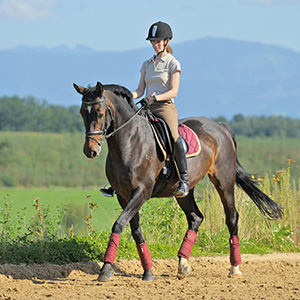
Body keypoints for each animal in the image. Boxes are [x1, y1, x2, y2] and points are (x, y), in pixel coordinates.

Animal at [74, 81, 282, 282]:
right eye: (82, 112)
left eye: (100, 113)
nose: (90, 150)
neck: (130, 141)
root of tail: (220, 126)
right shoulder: (124, 196)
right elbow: (135, 230)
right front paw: (148, 271)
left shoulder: (142, 192)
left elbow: (118, 225)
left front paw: (106, 269)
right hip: (184, 191)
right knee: (195, 217)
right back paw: (183, 264)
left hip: (224, 181)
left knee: (231, 218)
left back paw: (234, 268)